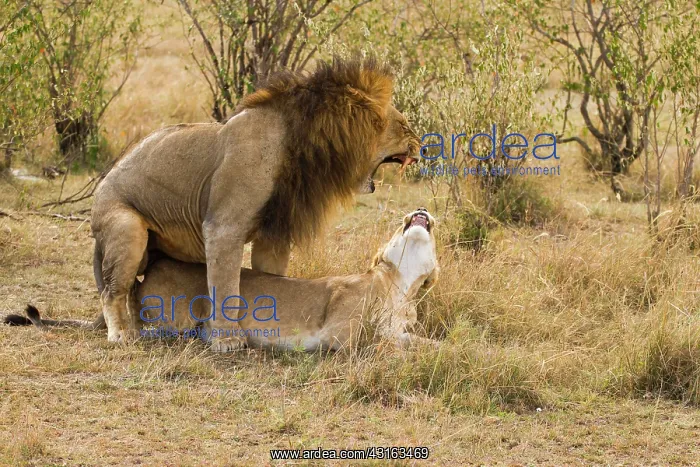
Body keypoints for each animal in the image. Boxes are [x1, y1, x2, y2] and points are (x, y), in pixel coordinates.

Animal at [5, 209, 439, 351]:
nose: (419, 210)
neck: (401, 287)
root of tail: (152, 268)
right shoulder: (339, 335)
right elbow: (386, 346)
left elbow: (418, 341)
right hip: (177, 311)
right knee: (139, 316)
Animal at [88, 56, 421, 351]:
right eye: (405, 126)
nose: (423, 145)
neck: (303, 146)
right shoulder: (224, 227)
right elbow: (225, 287)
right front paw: (227, 340)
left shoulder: (273, 235)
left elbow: (270, 278)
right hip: (127, 227)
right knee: (113, 291)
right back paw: (122, 334)